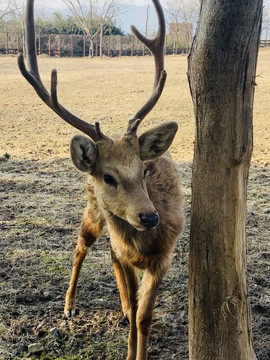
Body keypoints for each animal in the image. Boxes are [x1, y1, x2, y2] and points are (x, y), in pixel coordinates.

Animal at [17, 0, 185, 360]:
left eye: (144, 169)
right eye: (108, 176)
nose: (149, 216)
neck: (142, 246)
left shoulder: (163, 258)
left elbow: (144, 316)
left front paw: (138, 347)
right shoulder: (127, 250)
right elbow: (136, 310)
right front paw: (130, 352)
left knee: (110, 256)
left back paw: (117, 306)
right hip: (92, 209)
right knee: (81, 247)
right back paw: (69, 306)